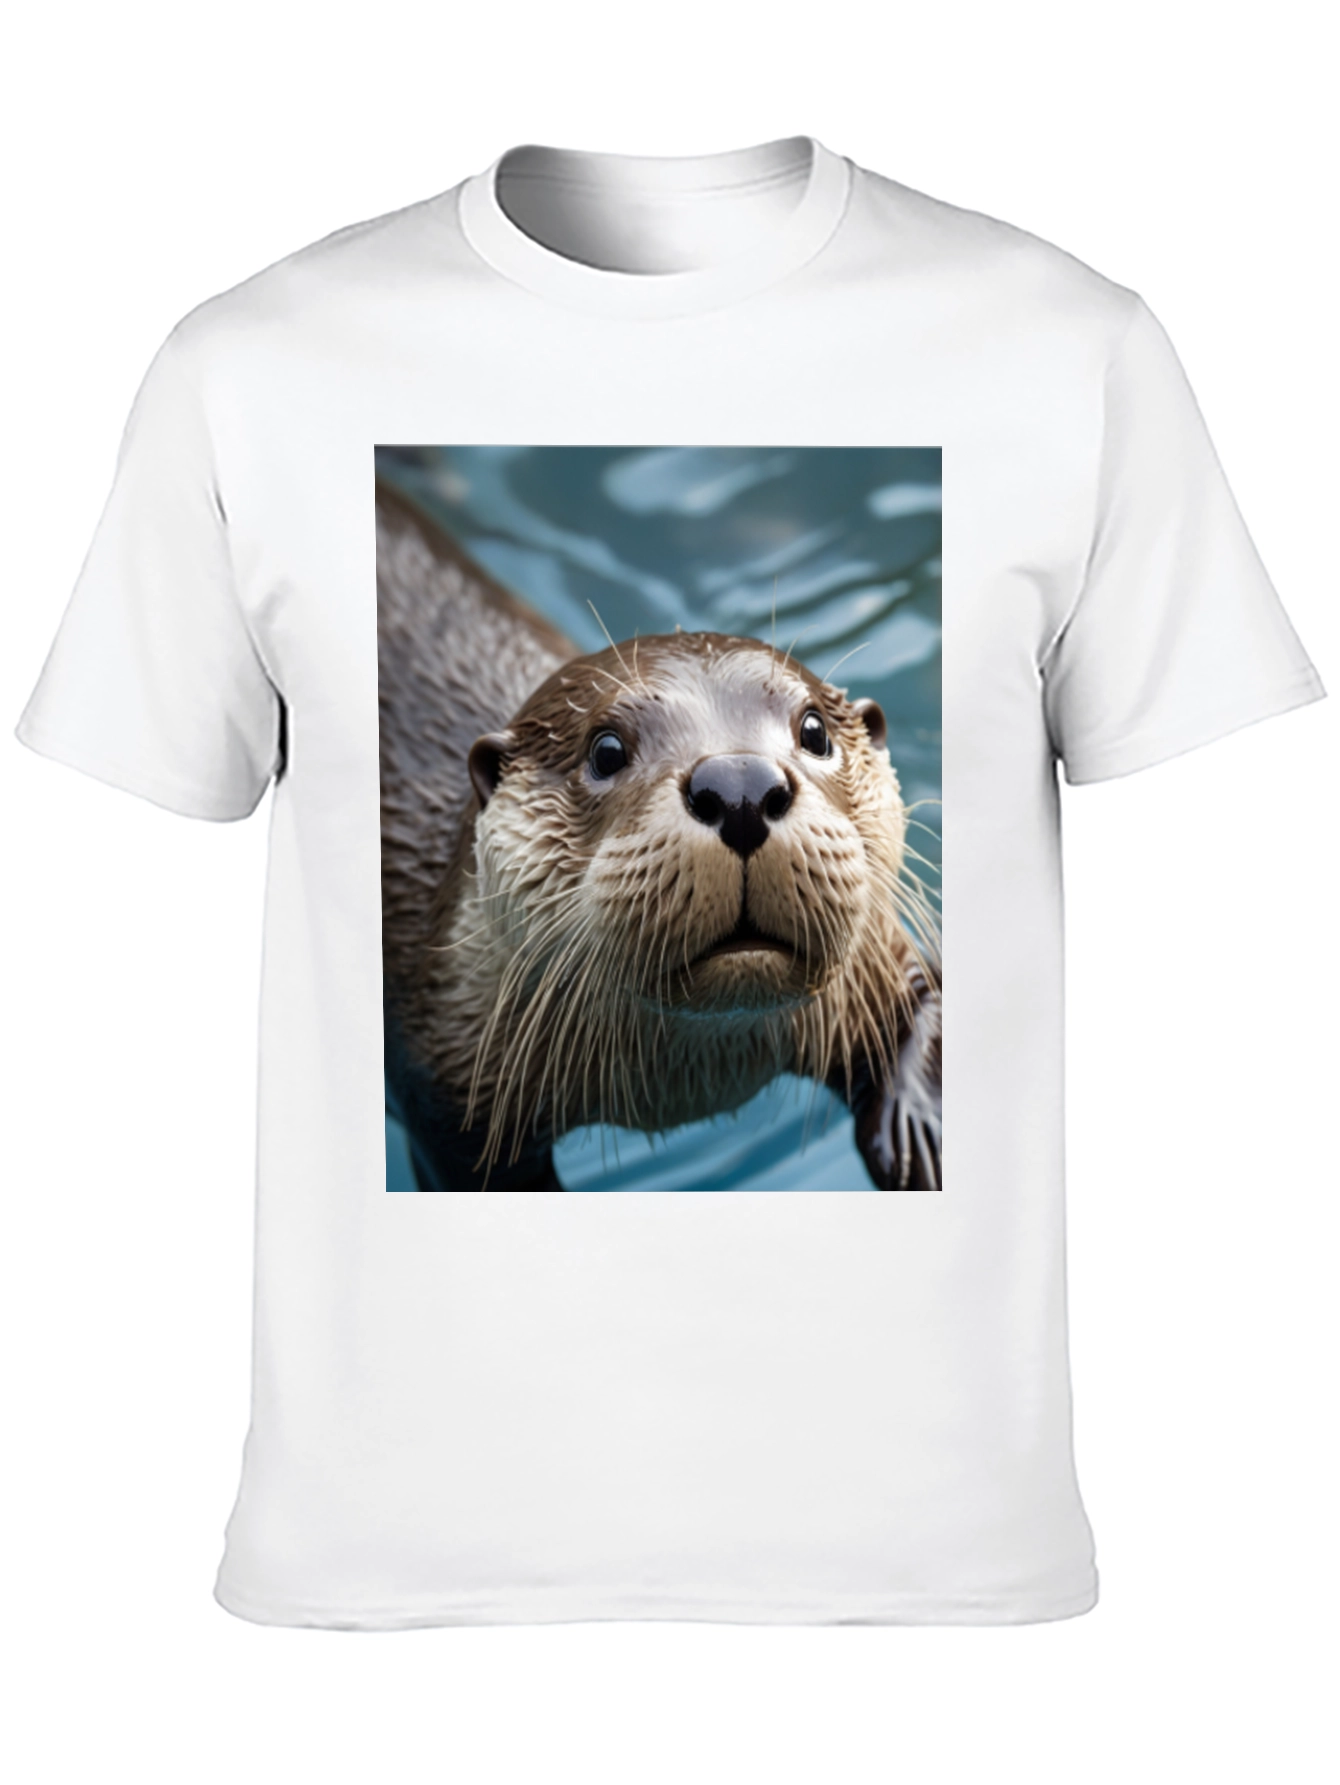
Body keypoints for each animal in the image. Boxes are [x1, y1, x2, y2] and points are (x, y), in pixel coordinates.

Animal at [377, 479, 941, 1193]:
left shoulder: (876, 965)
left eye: (814, 730)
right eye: (607, 750)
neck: (692, 1088)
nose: (739, 786)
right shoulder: (449, 1092)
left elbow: (925, 1004)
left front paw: (921, 1133)